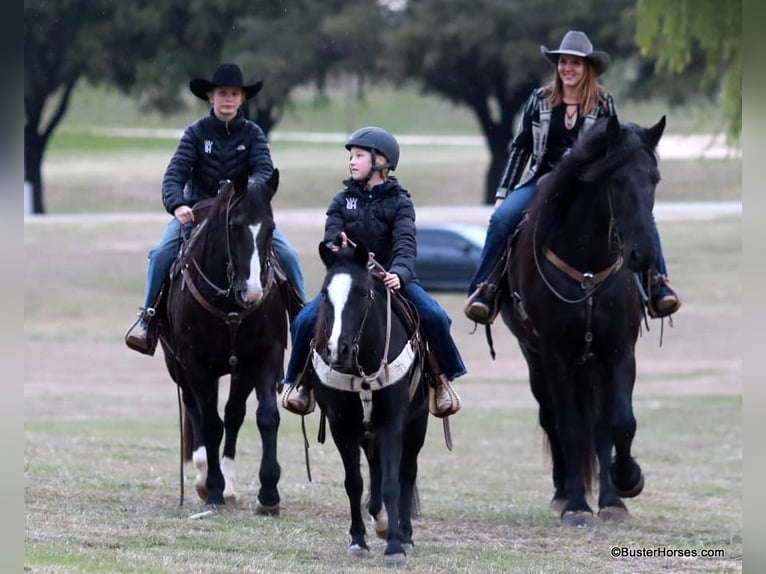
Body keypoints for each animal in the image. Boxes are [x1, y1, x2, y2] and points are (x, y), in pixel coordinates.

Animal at [159, 170, 288, 512]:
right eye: (234, 226)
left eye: (271, 228)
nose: (252, 292)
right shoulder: (196, 365)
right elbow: (210, 424)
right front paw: (214, 488)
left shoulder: (263, 357)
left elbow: (263, 416)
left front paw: (268, 493)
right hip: (178, 367)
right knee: (196, 412)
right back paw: (204, 478)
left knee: (232, 414)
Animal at [310, 242, 432, 568]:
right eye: (325, 294)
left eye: (363, 293)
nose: (336, 350)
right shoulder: (341, 426)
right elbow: (354, 483)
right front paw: (358, 541)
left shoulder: (392, 423)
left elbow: (392, 483)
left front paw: (395, 548)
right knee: (375, 472)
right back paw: (381, 521)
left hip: (417, 425)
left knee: (407, 474)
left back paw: (404, 534)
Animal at [500, 115, 668, 528]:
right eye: (616, 180)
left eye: (654, 178)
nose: (643, 255)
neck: (588, 267)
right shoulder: (555, 354)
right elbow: (570, 426)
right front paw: (576, 505)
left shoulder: (619, 350)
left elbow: (619, 422)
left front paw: (625, 484)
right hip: (535, 359)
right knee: (552, 418)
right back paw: (563, 493)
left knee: (599, 424)